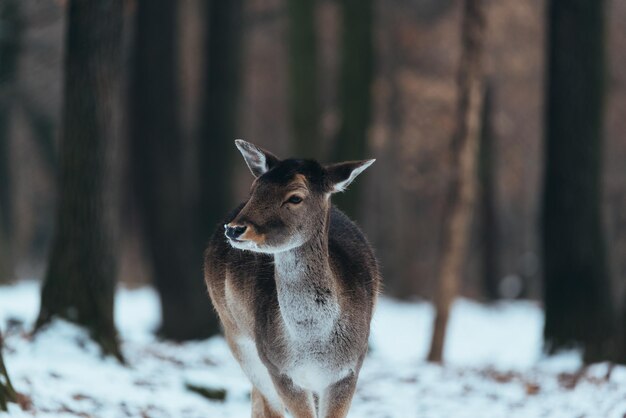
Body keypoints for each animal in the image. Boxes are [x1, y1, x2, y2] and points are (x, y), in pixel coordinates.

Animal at [206, 141, 380, 418]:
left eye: (295, 197)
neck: (313, 347)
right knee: (265, 404)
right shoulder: (279, 370)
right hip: (239, 339)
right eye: (255, 188)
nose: (234, 229)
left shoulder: (349, 370)